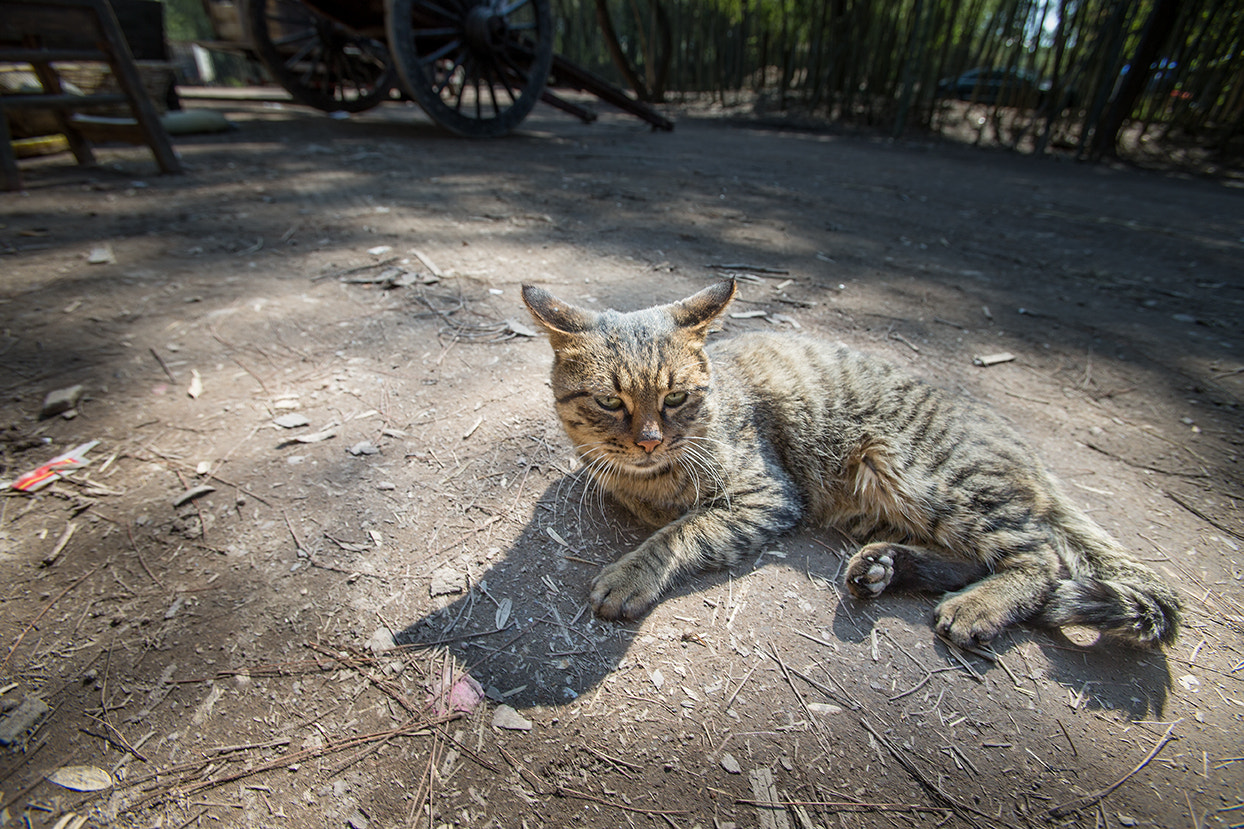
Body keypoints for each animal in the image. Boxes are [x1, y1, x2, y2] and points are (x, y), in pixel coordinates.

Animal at [519, 277, 1179, 647]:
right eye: (611, 401)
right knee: (979, 558)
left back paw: (978, 605)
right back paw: (887, 568)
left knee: (1041, 557)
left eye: (676, 397)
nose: (651, 441)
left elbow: (683, 531)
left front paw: (632, 572)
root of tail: (1026, 448)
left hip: (929, 476)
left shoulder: (768, 495)